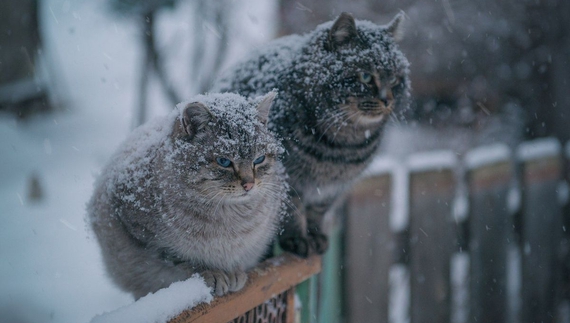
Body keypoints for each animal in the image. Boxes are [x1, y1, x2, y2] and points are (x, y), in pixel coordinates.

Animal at [87, 92, 286, 300]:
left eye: (259, 159)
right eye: (224, 161)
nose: (249, 184)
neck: (228, 216)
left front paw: (232, 272)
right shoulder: (146, 237)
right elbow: (182, 260)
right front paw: (213, 273)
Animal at [209, 12, 408, 258]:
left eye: (396, 80)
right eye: (366, 77)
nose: (388, 100)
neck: (343, 146)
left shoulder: (333, 188)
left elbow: (317, 212)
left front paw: (315, 237)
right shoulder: (287, 178)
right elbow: (292, 210)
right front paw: (297, 240)